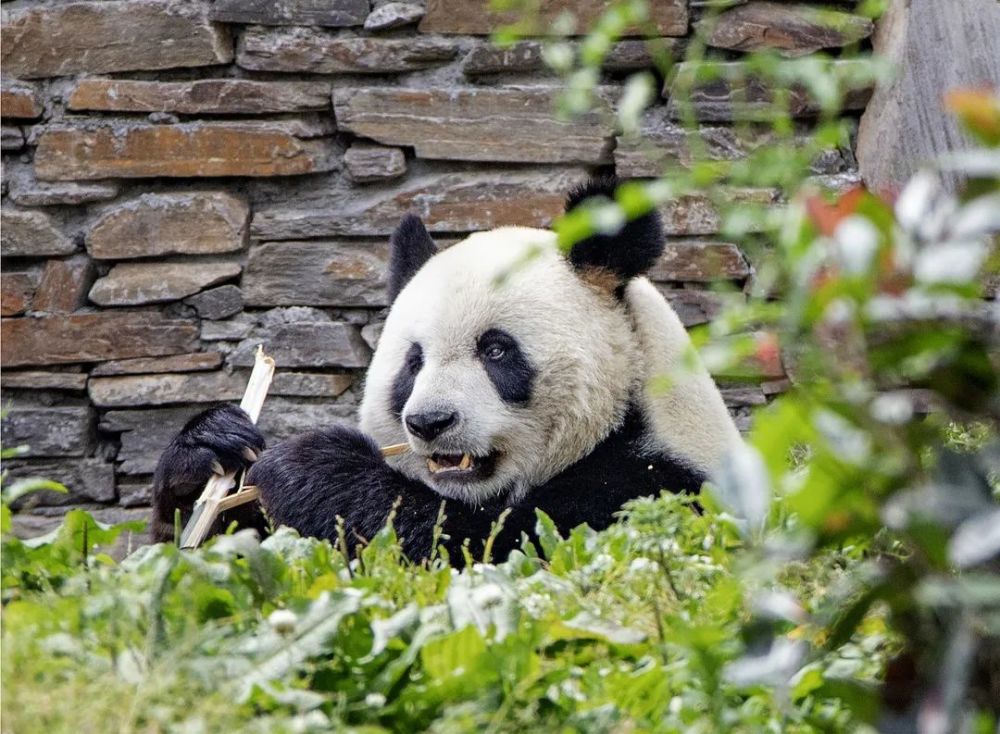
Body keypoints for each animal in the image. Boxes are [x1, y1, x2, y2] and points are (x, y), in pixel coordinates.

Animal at [150, 177, 744, 564]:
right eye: (413, 363)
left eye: (497, 351)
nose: (430, 423)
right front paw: (210, 451)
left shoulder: (651, 488)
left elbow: (489, 548)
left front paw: (311, 465)